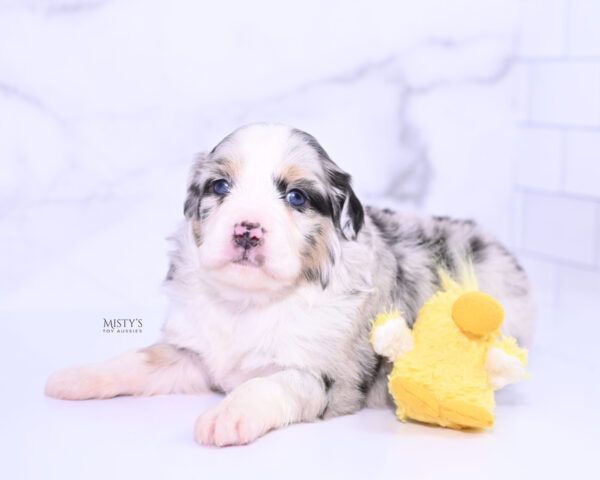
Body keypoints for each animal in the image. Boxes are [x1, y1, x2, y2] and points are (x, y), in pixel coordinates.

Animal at [45, 124, 536, 446]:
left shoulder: (322, 375)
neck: (248, 303)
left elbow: (267, 386)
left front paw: (226, 416)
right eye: (220, 186)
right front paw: (76, 376)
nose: (247, 230)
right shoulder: (194, 354)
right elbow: (138, 359)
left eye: (297, 197)